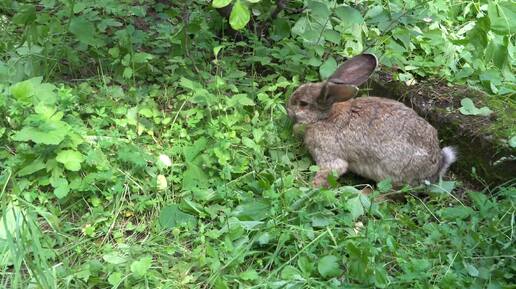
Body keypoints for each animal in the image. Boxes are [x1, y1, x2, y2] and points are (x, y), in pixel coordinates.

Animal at [286, 53, 456, 187]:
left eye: (303, 104)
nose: (287, 108)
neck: (324, 117)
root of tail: (436, 167)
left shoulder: (329, 155)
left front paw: (310, 188)